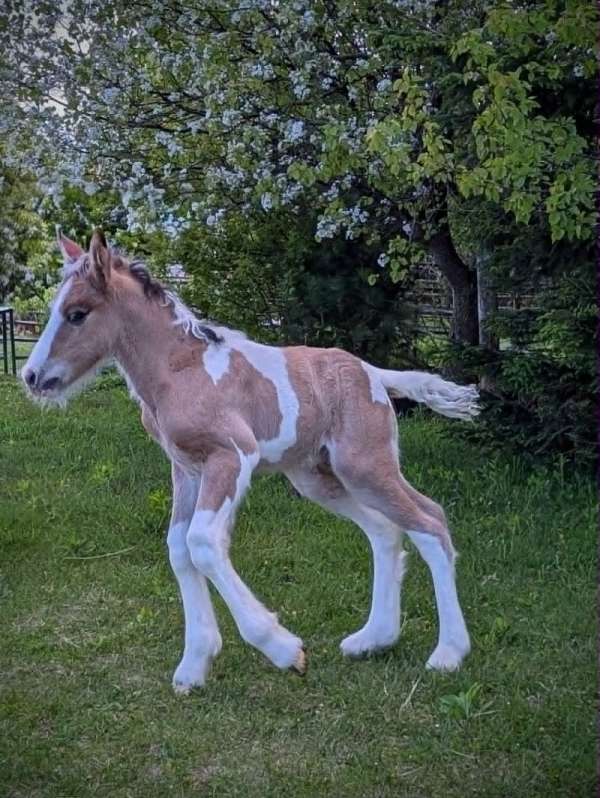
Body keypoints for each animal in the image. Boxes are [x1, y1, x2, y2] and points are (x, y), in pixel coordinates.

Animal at [22, 229, 477, 694]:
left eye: (77, 314)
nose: (32, 376)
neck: (180, 371)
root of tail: (374, 372)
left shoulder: (232, 455)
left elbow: (203, 543)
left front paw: (282, 648)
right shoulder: (186, 469)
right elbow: (178, 548)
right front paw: (195, 663)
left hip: (366, 465)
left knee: (431, 522)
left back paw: (448, 653)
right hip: (318, 478)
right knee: (385, 530)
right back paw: (373, 639)